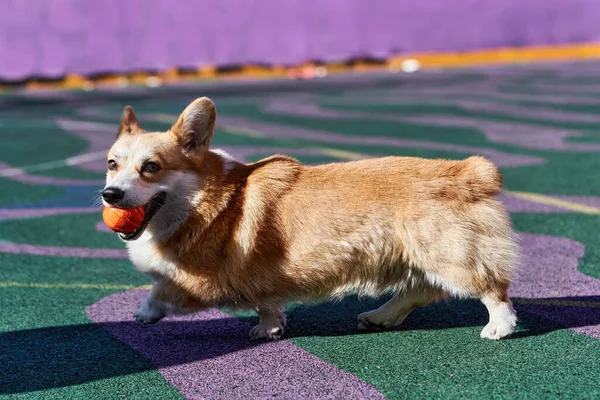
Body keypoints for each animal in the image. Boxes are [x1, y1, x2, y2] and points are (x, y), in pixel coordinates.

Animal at [101, 97, 516, 340]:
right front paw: (268, 328)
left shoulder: (201, 281)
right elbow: (267, 305)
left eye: (151, 167)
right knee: (421, 289)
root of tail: (467, 172)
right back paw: (381, 316)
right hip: (413, 256)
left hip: (450, 256)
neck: (201, 199)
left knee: (492, 289)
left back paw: (498, 327)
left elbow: (161, 289)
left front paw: (143, 313)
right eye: (111, 164)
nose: (110, 195)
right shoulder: (260, 278)